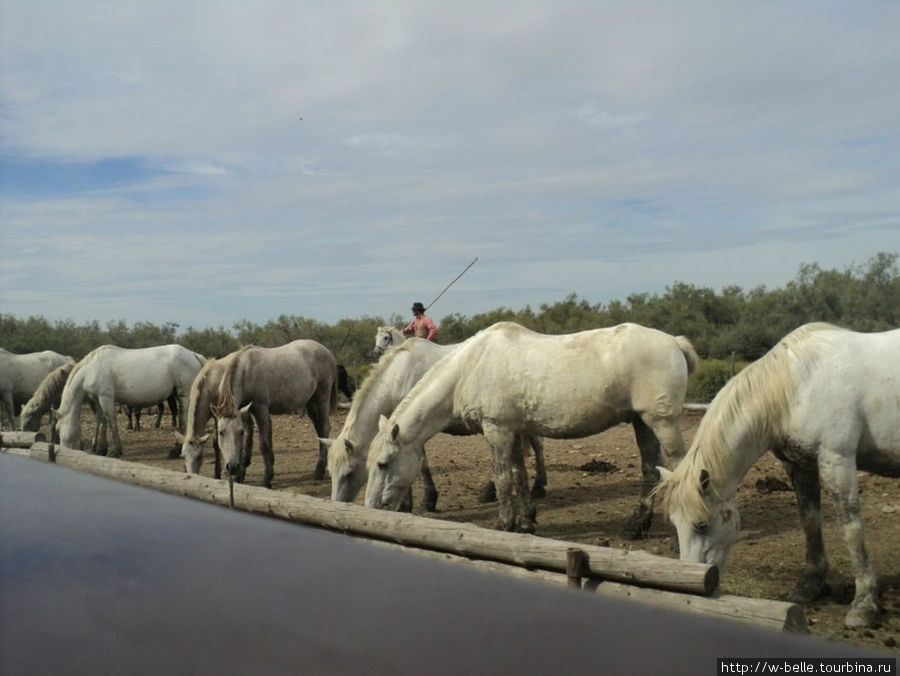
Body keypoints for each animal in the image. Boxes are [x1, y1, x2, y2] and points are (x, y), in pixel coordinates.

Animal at [54, 346, 206, 456]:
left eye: (58, 429)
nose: (63, 450)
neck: (91, 369)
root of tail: (194, 355)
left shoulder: (106, 398)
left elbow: (111, 422)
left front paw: (115, 451)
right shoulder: (98, 400)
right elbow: (101, 423)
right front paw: (99, 450)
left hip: (184, 396)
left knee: (183, 422)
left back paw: (175, 451)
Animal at [214, 340, 338, 488]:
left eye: (240, 432)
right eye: (221, 432)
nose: (232, 467)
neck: (246, 371)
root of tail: (326, 350)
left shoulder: (260, 409)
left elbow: (264, 443)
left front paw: (267, 479)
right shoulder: (244, 412)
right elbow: (248, 441)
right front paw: (240, 476)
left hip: (322, 397)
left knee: (324, 427)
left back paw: (319, 471)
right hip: (310, 402)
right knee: (319, 428)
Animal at [326, 338, 544, 512]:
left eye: (349, 473)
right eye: (331, 473)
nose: (337, 503)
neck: (398, 377)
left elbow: (421, 465)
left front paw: (421, 502)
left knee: (537, 446)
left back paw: (536, 487)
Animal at [366, 320, 696, 532]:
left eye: (383, 463)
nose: (370, 507)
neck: (469, 366)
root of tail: (674, 342)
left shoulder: (497, 429)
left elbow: (502, 478)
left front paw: (504, 524)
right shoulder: (513, 431)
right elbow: (518, 475)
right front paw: (524, 522)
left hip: (662, 423)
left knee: (680, 467)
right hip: (642, 423)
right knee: (650, 469)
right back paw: (637, 526)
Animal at [652, 322, 900, 628]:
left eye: (701, 525)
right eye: (675, 525)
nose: (693, 586)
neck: (798, 385)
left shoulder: (837, 460)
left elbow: (851, 529)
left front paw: (863, 606)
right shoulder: (800, 466)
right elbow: (810, 523)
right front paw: (810, 585)